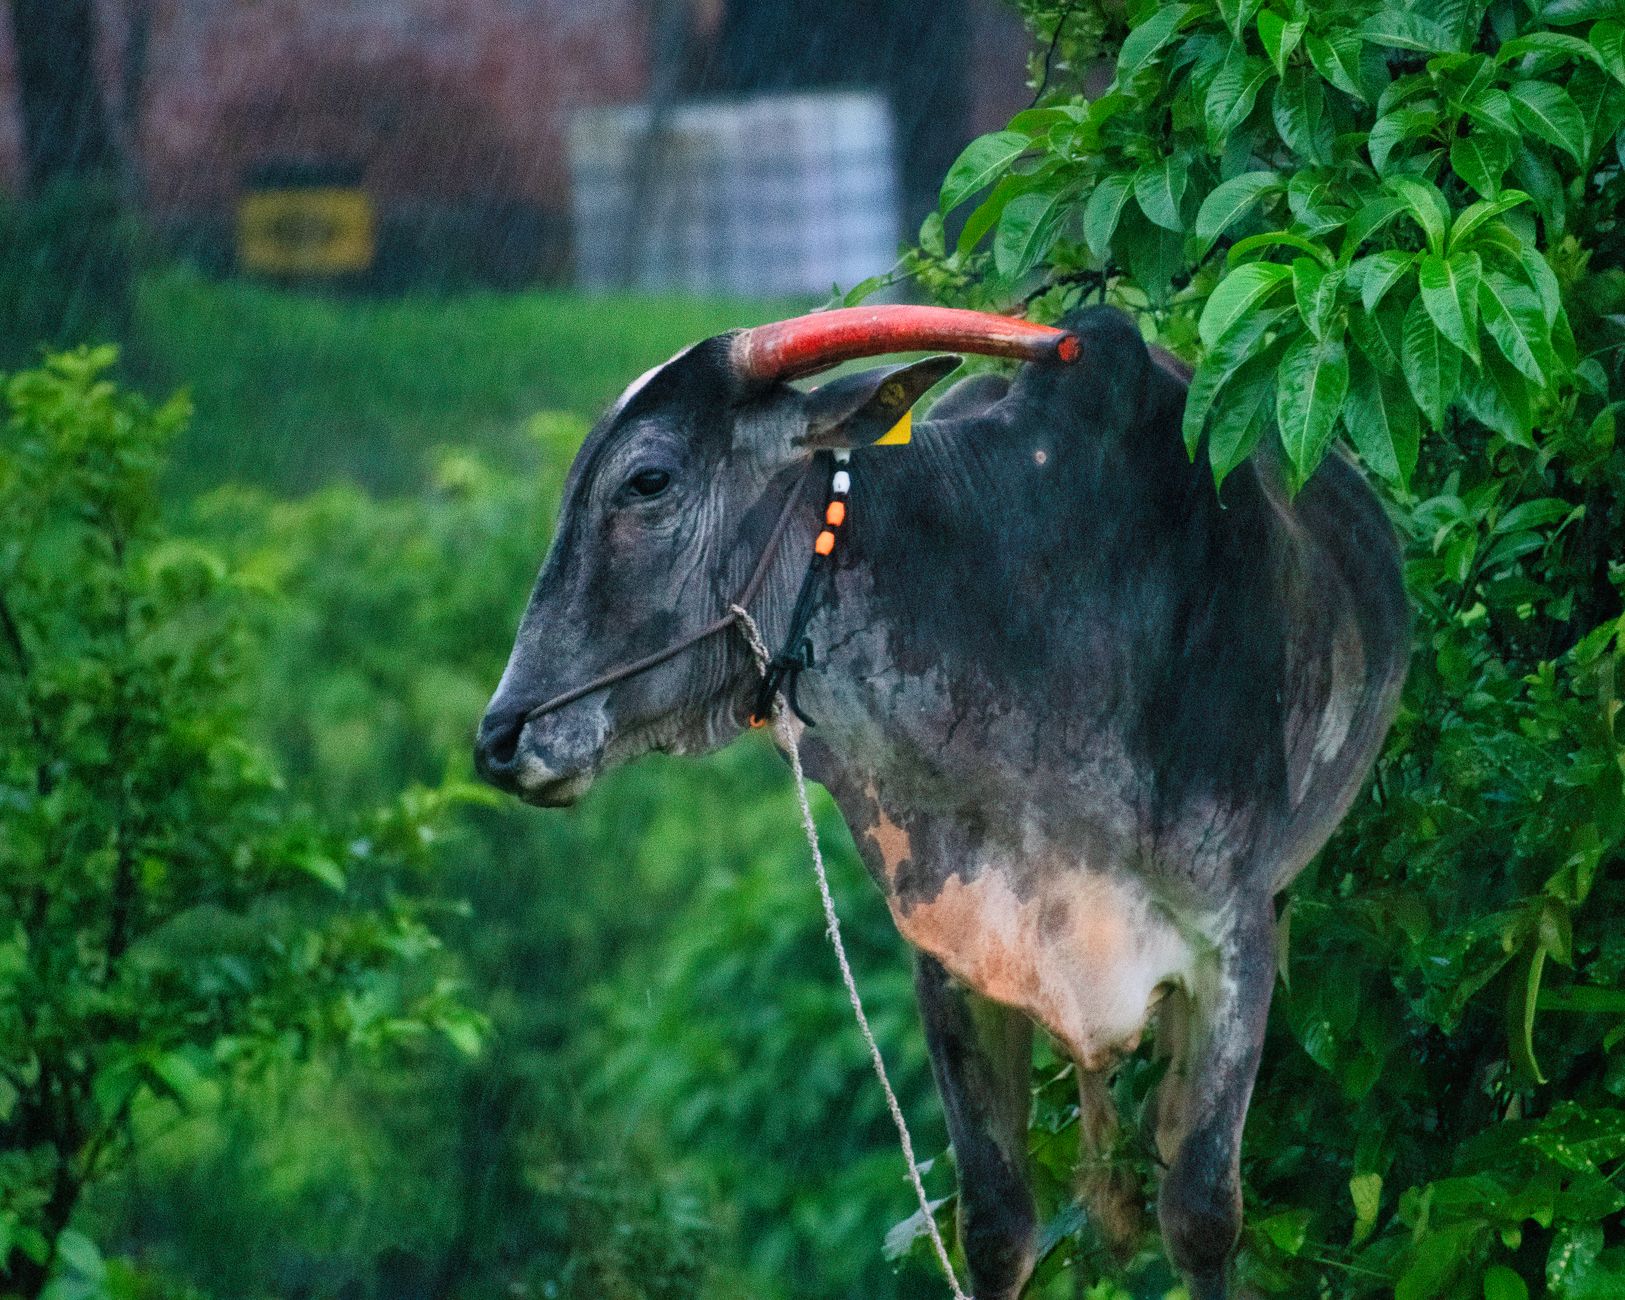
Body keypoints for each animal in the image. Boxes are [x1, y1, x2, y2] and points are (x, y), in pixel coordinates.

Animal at [474, 303, 1410, 1299]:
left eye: (646, 481)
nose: (501, 739)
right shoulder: (955, 958)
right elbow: (994, 1225)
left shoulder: (1233, 943)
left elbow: (1199, 1216)